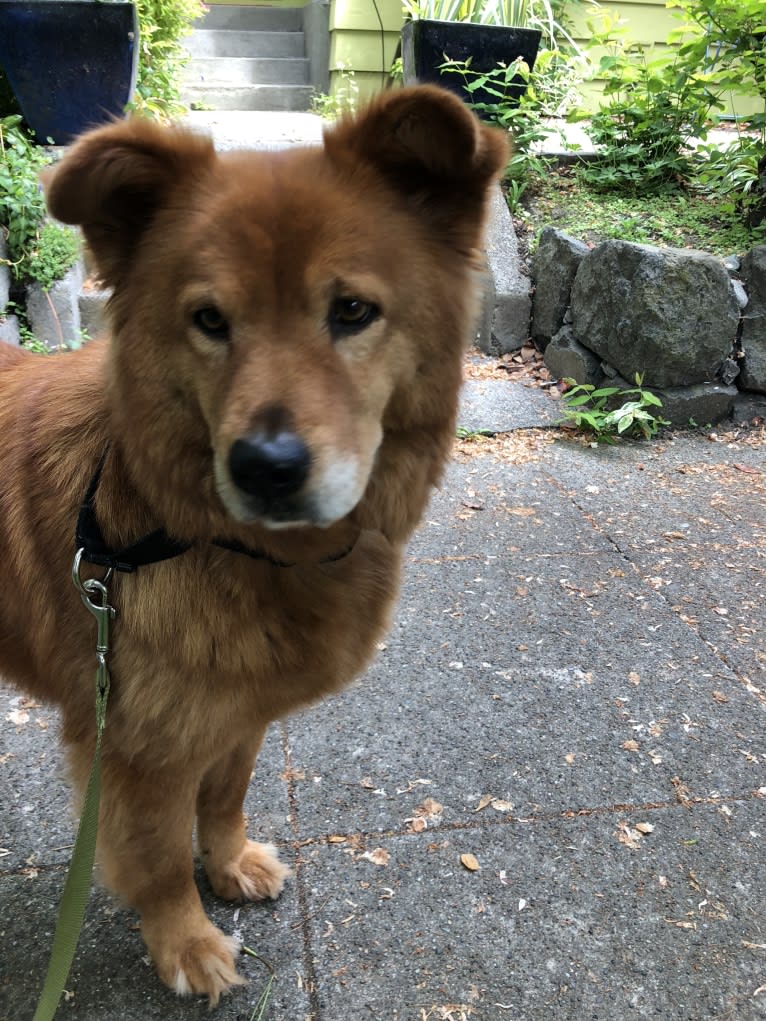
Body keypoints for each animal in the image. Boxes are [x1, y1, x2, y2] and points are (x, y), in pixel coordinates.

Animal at [1, 87, 510, 996]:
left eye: (352, 310)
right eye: (210, 320)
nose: (266, 466)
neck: (179, 531)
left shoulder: (236, 710)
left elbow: (225, 795)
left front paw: (230, 863)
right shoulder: (136, 748)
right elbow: (159, 858)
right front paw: (186, 942)